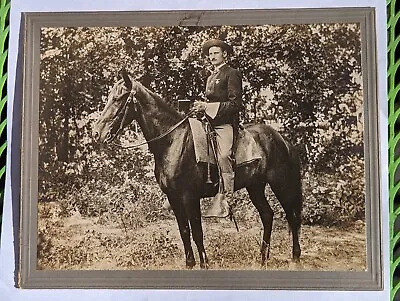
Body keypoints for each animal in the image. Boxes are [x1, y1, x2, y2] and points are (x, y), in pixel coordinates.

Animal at [92, 71, 302, 268]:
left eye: (118, 98)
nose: (96, 133)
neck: (172, 140)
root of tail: (282, 139)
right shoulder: (174, 197)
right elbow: (184, 231)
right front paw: (190, 263)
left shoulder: (189, 196)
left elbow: (197, 232)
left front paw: (204, 263)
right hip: (255, 186)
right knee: (267, 215)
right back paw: (263, 259)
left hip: (281, 184)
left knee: (292, 216)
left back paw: (295, 257)